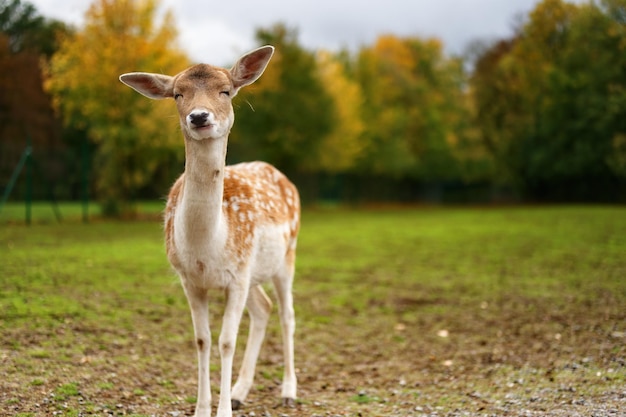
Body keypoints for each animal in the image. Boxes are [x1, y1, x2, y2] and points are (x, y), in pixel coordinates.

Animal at [119, 45, 300, 416]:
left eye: (225, 91)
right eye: (178, 94)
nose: (199, 117)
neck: (207, 247)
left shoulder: (237, 276)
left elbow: (226, 341)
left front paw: (223, 410)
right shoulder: (190, 279)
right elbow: (202, 340)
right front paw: (203, 408)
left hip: (287, 254)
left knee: (287, 314)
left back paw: (289, 391)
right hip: (255, 274)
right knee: (263, 309)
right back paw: (240, 390)